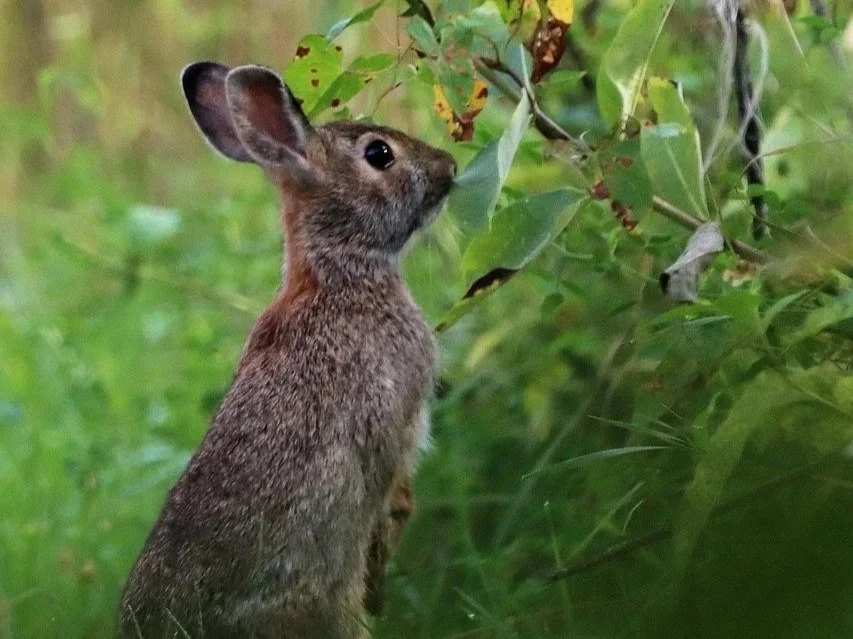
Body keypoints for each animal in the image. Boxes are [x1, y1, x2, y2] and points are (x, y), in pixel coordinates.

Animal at [118, 61, 456, 639]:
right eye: (379, 154)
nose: (449, 167)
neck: (340, 272)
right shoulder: (394, 424)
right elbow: (393, 501)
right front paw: (381, 584)